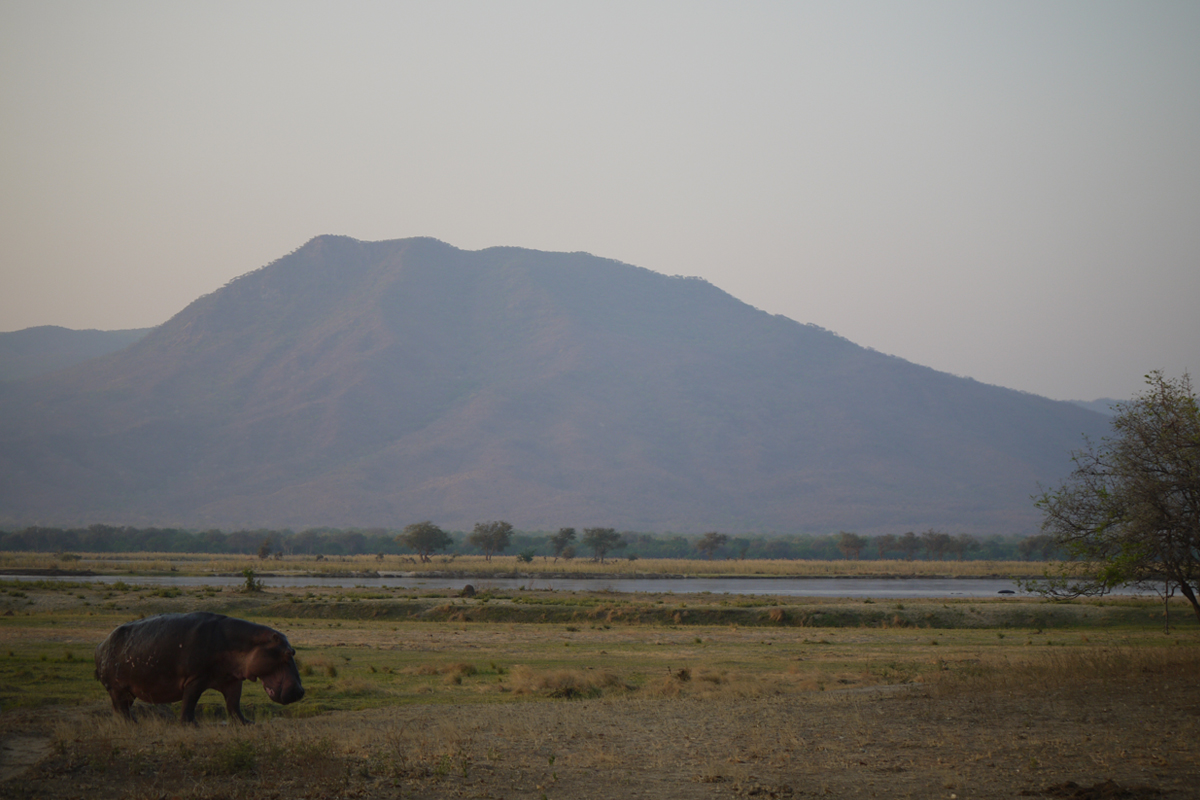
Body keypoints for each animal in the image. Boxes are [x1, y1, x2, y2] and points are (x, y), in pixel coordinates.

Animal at [94, 611, 305, 724]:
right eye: (288, 653)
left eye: (293, 651)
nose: (302, 691)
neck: (245, 643)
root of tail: (101, 645)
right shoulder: (196, 678)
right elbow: (190, 702)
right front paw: (191, 724)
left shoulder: (232, 680)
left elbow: (234, 704)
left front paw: (247, 722)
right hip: (117, 688)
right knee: (120, 709)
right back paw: (134, 723)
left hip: (128, 691)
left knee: (121, 708)